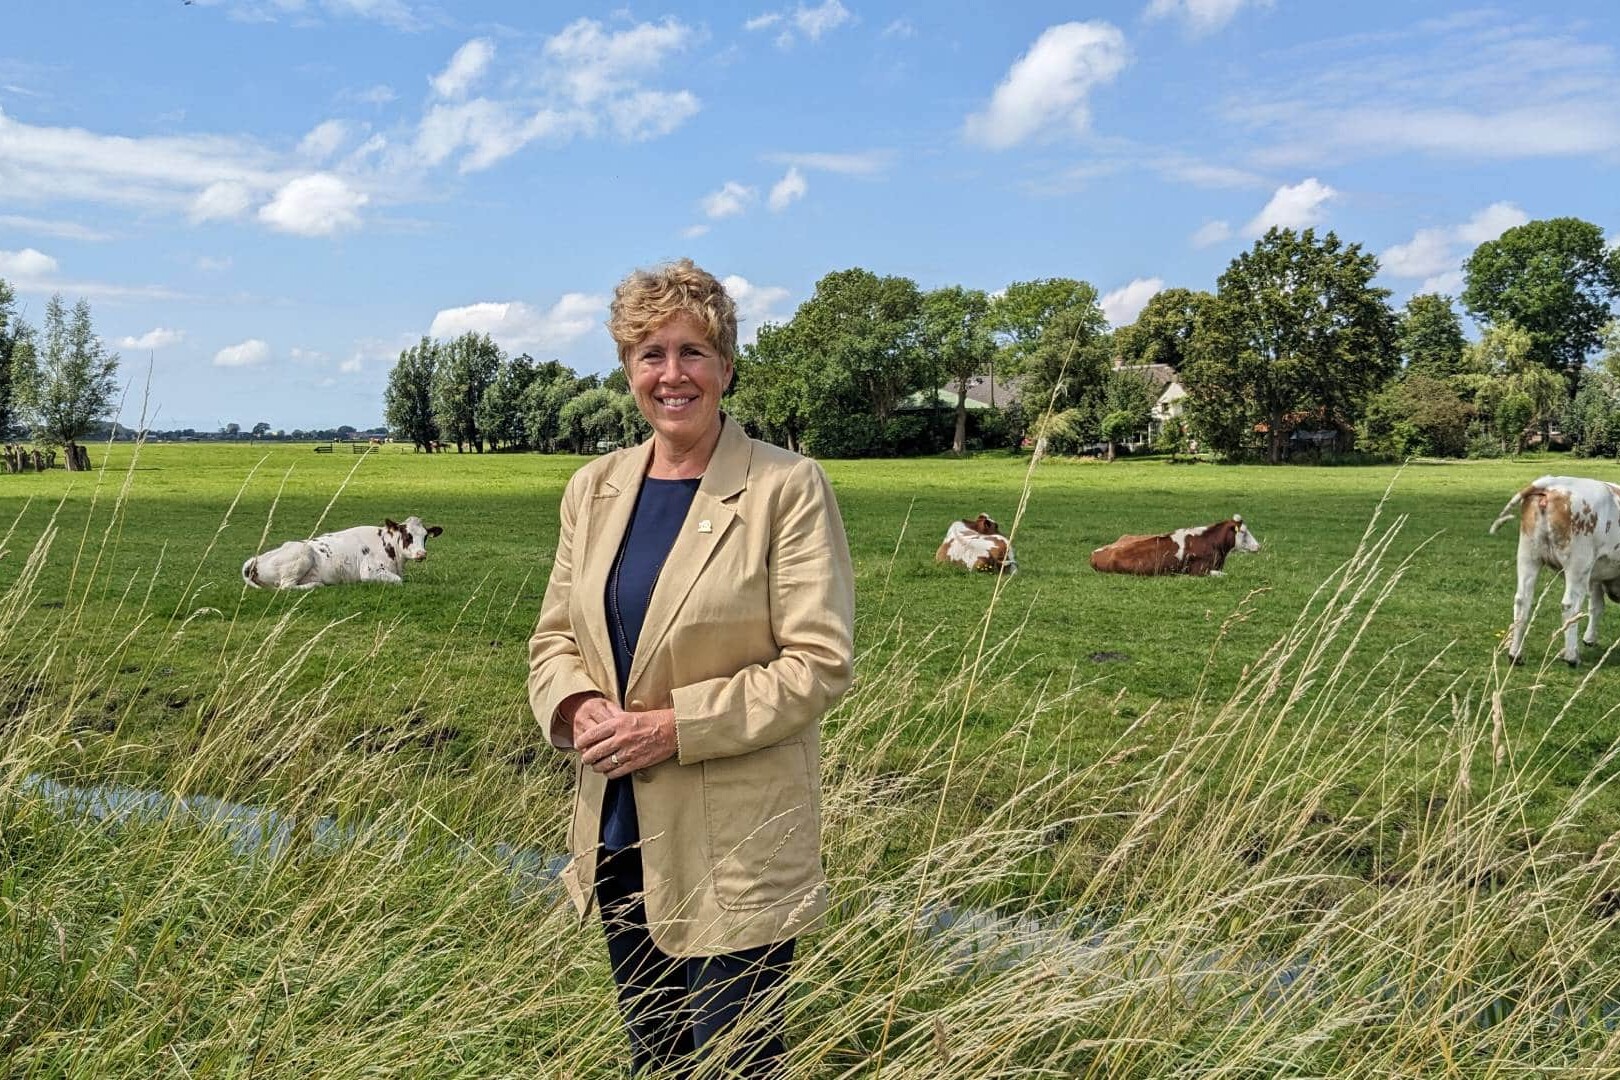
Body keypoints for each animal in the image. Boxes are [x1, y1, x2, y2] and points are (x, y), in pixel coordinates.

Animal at [239, 518, 443, 592]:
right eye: (408, 535)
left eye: (425, 536)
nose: (422, 554)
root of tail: (255, 559)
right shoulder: (370, 572)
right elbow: (398, 581)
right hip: (303, 554)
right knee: (286, 587)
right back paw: (316, 584)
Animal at [1483, 476, 1620, 667]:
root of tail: (1552, 483)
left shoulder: (1596, 575)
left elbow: (1596, 606)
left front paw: (1590, 638)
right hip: (1578, 564)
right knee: (1570, 606)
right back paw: (1572, 657)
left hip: (1528, 555)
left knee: (1522, 601)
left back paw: (1515, 655)